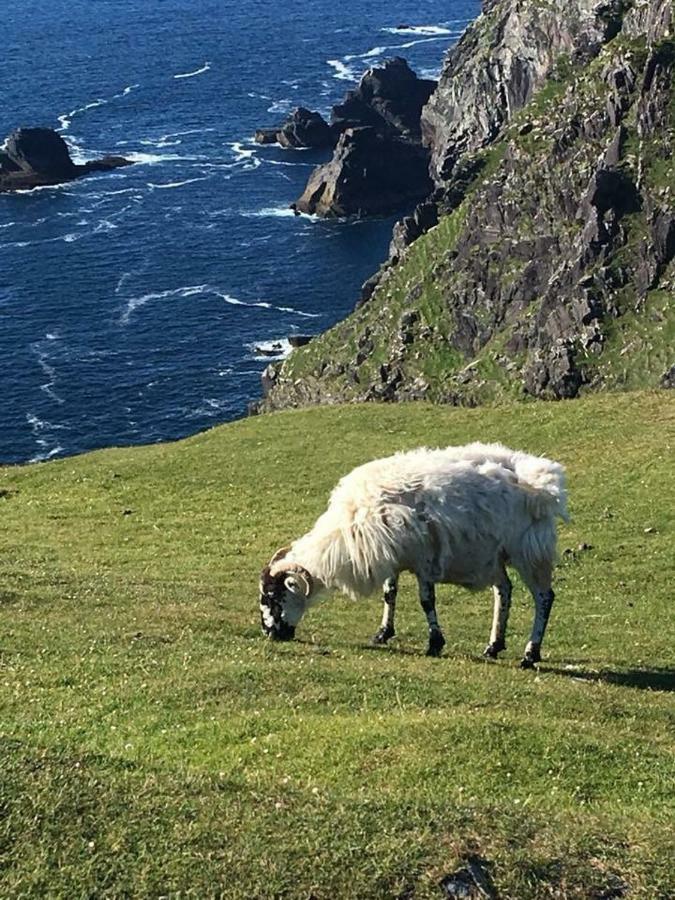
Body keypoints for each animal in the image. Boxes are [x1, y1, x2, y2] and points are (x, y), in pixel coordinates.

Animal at [260, 442, 572, 668]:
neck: (344, 533)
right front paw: (383, 633)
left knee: (544, 598)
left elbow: (426, 601)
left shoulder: (424, 559)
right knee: (504, 590)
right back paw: (493, 646)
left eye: (273, 597)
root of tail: (545, 482)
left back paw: (530, 654)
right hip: (494, 555)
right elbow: (390, 594)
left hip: (529, 550)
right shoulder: (393, 556)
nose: (269, 633)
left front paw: (434, 643)